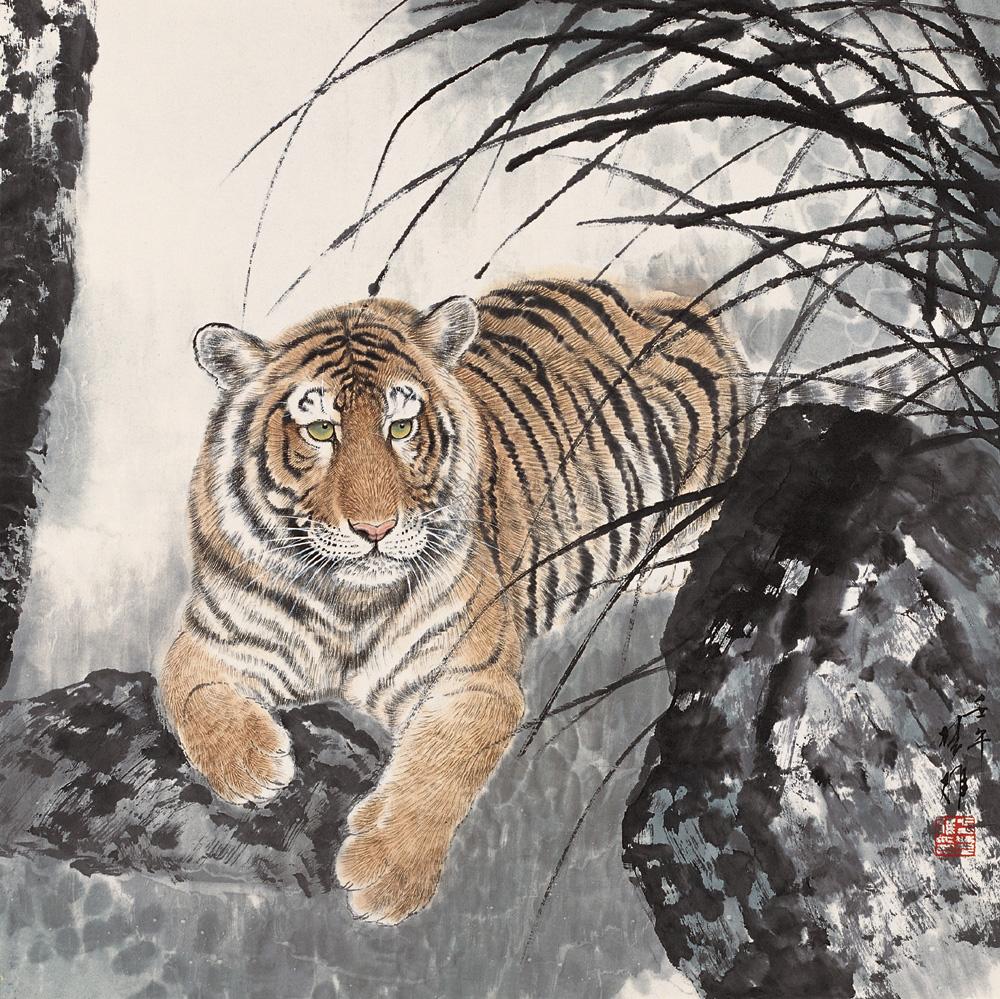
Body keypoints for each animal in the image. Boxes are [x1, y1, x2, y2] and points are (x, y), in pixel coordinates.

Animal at [157, 277, 776, 923]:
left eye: (401, 428)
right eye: (321, 430)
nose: (375, 529)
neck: (347, 601)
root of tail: (677, 302)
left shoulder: (473, 681)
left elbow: (439, 764)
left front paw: (387, 873)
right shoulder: (214, 638)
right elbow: (184, 686)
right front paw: (251, 765)